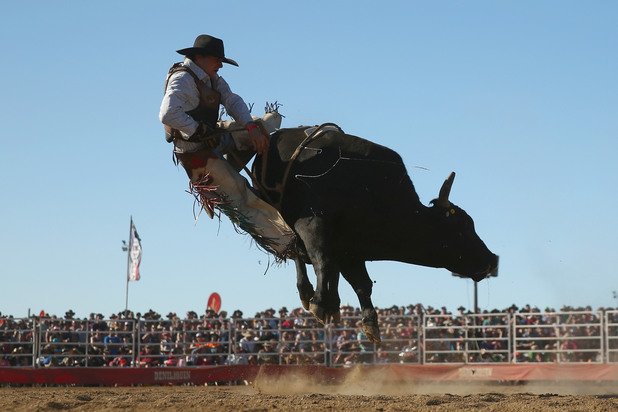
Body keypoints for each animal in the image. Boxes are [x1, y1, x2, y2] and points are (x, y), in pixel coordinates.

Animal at [250, 124, 496, 342]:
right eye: (462, 227)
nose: (492, 260)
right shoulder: (311, 223)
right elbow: (323, 261)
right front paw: (319, 303)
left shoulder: (349, 249)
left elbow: (361, 283)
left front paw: (368, 323)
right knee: (299, 253)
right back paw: (309, 293)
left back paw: (331, 303)